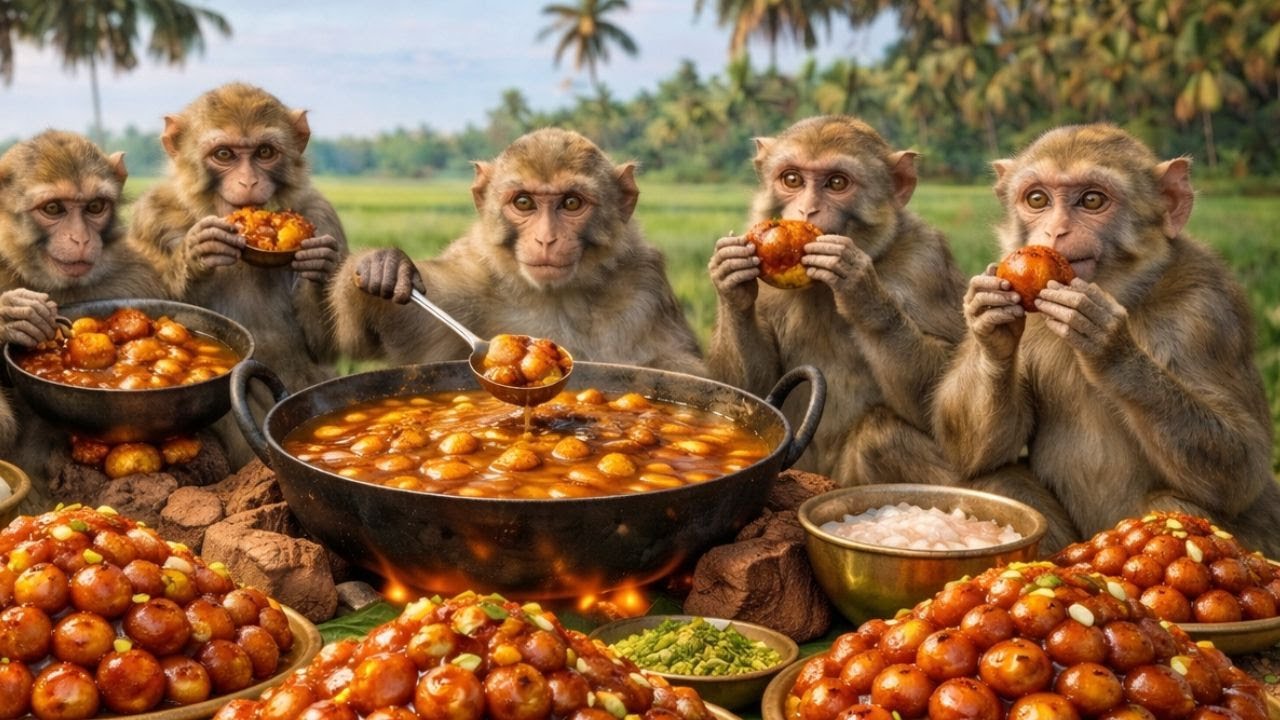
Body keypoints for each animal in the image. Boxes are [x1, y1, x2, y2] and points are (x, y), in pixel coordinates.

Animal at [126, 82, 347, 467]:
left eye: (264, 152)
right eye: (224, 154)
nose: (248, 181)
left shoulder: (323, 216)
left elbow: (324, 349)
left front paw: (319, 264)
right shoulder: (150, 218)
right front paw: (198, 253)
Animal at [328, 127, 705, 377]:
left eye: (571, 203)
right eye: (523, 202)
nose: (546, 239)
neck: (556, 296)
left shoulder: (644, 283)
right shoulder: (469, 277)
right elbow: (362, 342)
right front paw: (384, 267)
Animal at [706, 115, 966, 485]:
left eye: (837, 183)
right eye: (792, 179)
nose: (806, 210)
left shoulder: (925, 263)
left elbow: (943, 414)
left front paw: (862, 292)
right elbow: (747, 392)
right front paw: (731, 283)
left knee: (880, 434)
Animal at [932, 123, 1280, 556]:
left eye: (1092, 200)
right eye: (1037, 199)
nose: (1055, 230)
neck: (1127, 293)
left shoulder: (1209, 311)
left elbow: (1244, 468)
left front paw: (1111, 350)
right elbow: (973, 451)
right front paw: (990, 326)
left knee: (1175, 500)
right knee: (995, 476)